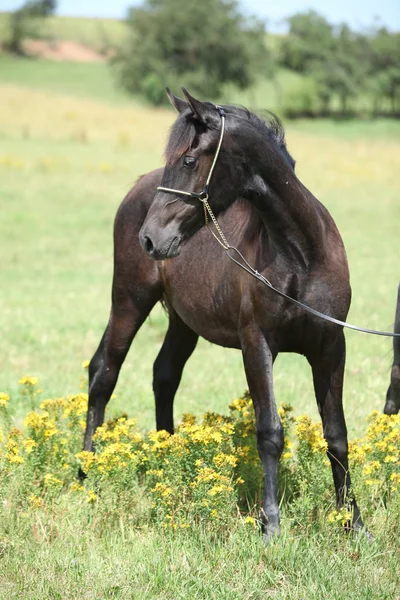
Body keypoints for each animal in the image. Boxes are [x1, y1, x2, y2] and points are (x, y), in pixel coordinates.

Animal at [83, 90, 366, 544]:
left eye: (188, 160)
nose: (151, 238)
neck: (301, 256)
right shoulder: (257, 344)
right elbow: (269, 433)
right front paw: (271, 526)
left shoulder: (330, 347)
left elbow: (337, 434)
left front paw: (352, 523)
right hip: (129, 299)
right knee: (103, 371)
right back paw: (85, 474)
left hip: (183, 322)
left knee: (164, 374)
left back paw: (167, 462)